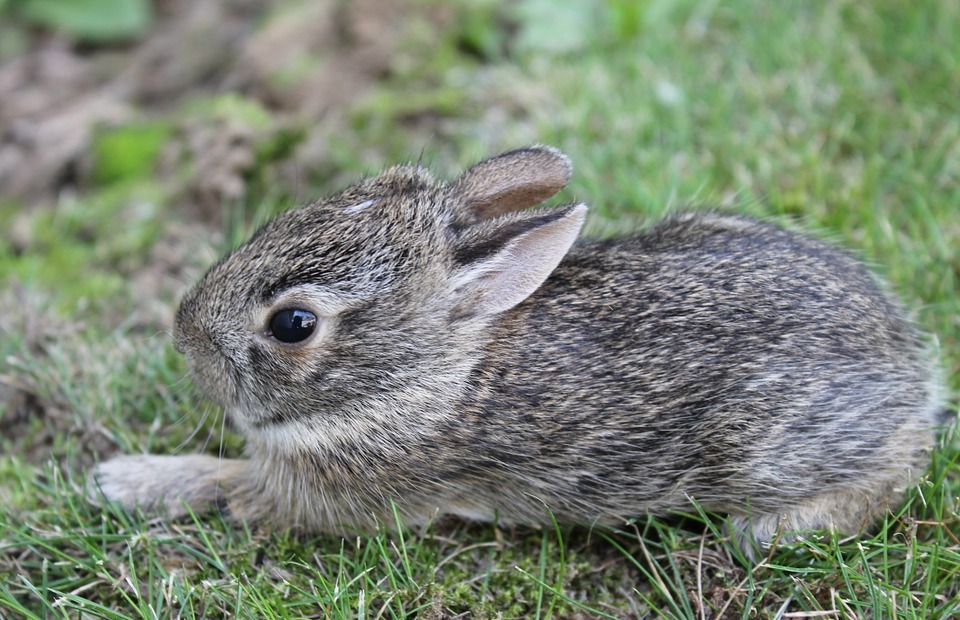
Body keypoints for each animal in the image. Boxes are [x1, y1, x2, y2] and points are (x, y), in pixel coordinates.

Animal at [92, 147, 952, 556]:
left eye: (294, 325)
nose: (184, 335)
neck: (428, 375)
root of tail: (909, 366)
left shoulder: (336, 494)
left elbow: (230, 486)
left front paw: (128, 479)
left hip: (766, 446)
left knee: (894, 466)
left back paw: (768, 532)